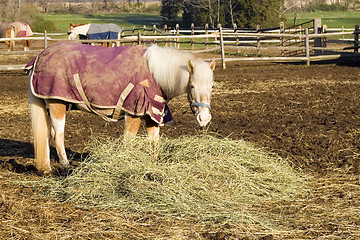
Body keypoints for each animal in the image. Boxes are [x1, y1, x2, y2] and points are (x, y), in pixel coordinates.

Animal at [28, 42, 215, 174]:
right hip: (56, 105)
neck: (154, 73)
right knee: (58, 137)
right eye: (191, 85)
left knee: (47, 136)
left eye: (212, 86)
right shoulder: (134, 113)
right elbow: (128, 142)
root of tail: (39, 57)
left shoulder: (152, 116)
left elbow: (154, 144)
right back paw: (66, 167)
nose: (204, 119)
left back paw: (46, 168)